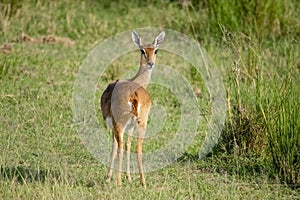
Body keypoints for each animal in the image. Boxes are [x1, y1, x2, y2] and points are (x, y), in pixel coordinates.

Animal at [102, 30, 165, 187]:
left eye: (155, 50)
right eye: (142, 50)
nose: (150, 63)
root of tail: (133, 94)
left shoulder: (114, 126)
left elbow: (115, 147)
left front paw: (108, 177)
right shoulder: (131, 127)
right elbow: (129, 145)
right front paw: (129, 177)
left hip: (120, 124)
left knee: (119, 148)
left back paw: (118, 183)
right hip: (142, 123)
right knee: (138, 148)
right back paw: (143, 182)